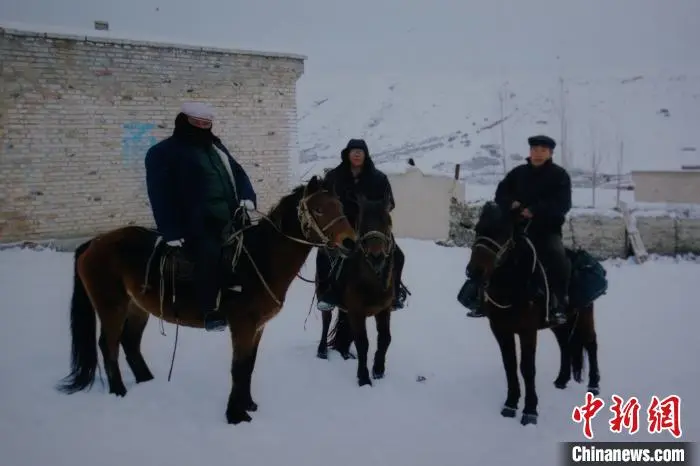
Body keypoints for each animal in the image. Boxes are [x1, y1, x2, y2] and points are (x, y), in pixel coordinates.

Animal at [57, 174, 358, 422]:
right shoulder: (243, 326)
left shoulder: (258, 327)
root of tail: (93, 244)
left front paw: (248, 405)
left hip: (137, 307)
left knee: (129, 343)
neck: (257, 261)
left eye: (341, 207)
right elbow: (238, 368)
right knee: (108, 345)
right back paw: (119, 391)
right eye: (319, 209)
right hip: (112, 306)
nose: (350, 243)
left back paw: (146, 381)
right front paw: (236, 415)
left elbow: (249, 367)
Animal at [314, 196, 396, 386]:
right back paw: (322, 351)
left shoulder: (384, 310)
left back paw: (344, 352)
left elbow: (385, 338)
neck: (373, 280)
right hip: (323, 294)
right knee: (326, 321)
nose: (376, 256)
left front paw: (378, 370)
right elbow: (362, 343)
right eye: (363, 223)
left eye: (387, 222)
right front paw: (364, 378)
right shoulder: (357, 313)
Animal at [464, 200, 600, 426]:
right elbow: (509, 365)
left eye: (503, 232)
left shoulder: (527, 331)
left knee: (591, 343)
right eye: (477, 229)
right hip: (560, 322)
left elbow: (527, 368)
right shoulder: (500, 330)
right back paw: (561, 380)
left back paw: (594, 386)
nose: (474, 272)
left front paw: (530, 411)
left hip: (585, 315)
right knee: (565, 344)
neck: (513, 286)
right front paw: (510, 404)